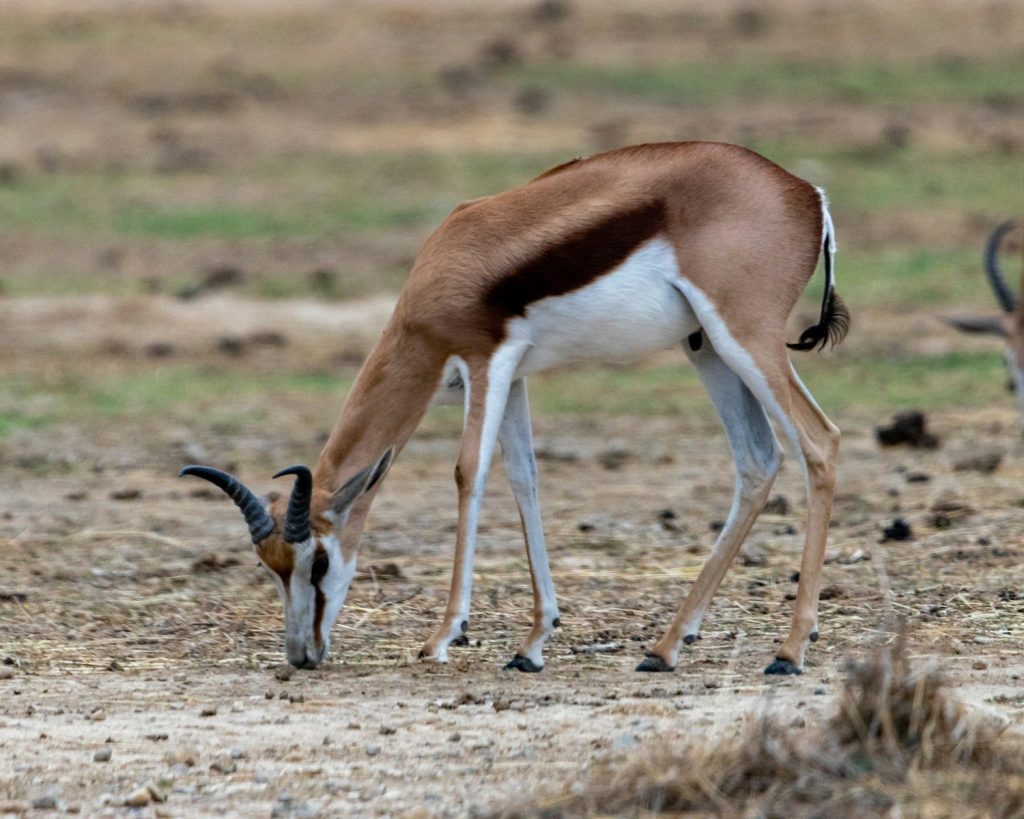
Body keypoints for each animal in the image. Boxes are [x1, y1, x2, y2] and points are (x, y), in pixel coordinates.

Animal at [181, 141, 849, 676]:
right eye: (269, 567)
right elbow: (525, 477)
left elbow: (469, 473)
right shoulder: (516, 377)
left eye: (317, 563)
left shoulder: (485, 362)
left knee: (820, 441)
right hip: (705, 346)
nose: (302, 655)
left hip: (746, 337)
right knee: (758, 460)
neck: (441, 272)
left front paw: (443, 637)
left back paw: (789, 652)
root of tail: (805, 192)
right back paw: (664, 648)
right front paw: (531, 644)